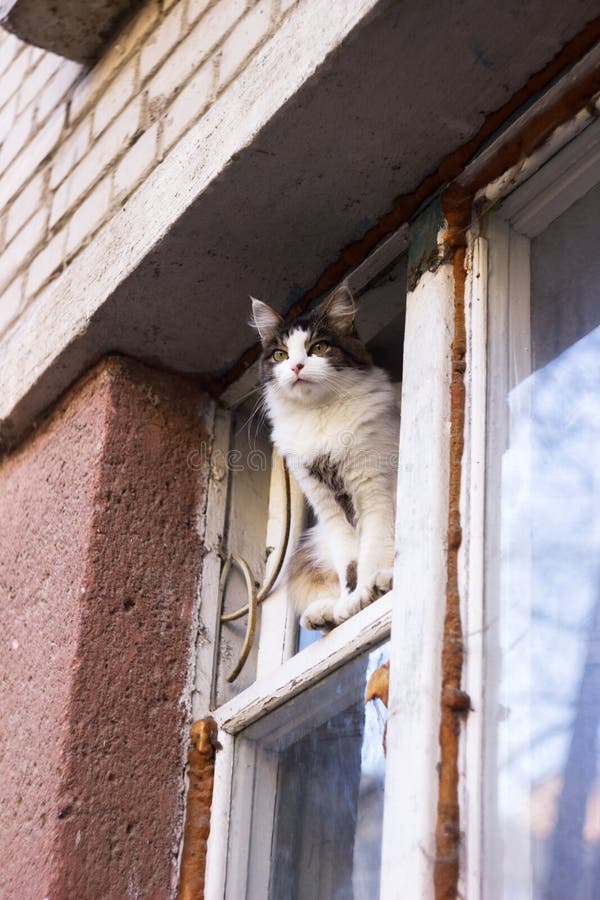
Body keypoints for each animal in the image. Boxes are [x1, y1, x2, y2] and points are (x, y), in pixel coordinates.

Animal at [252, 284, 398, 628]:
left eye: (317, 348)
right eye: (280, 354)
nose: (296, 367)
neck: (318, 413)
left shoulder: (374, 490)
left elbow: (371, 551)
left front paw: (364, 597)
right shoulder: (326, 505)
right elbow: (349, 564)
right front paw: (348, 603)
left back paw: (384, 581)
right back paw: (324, 612)